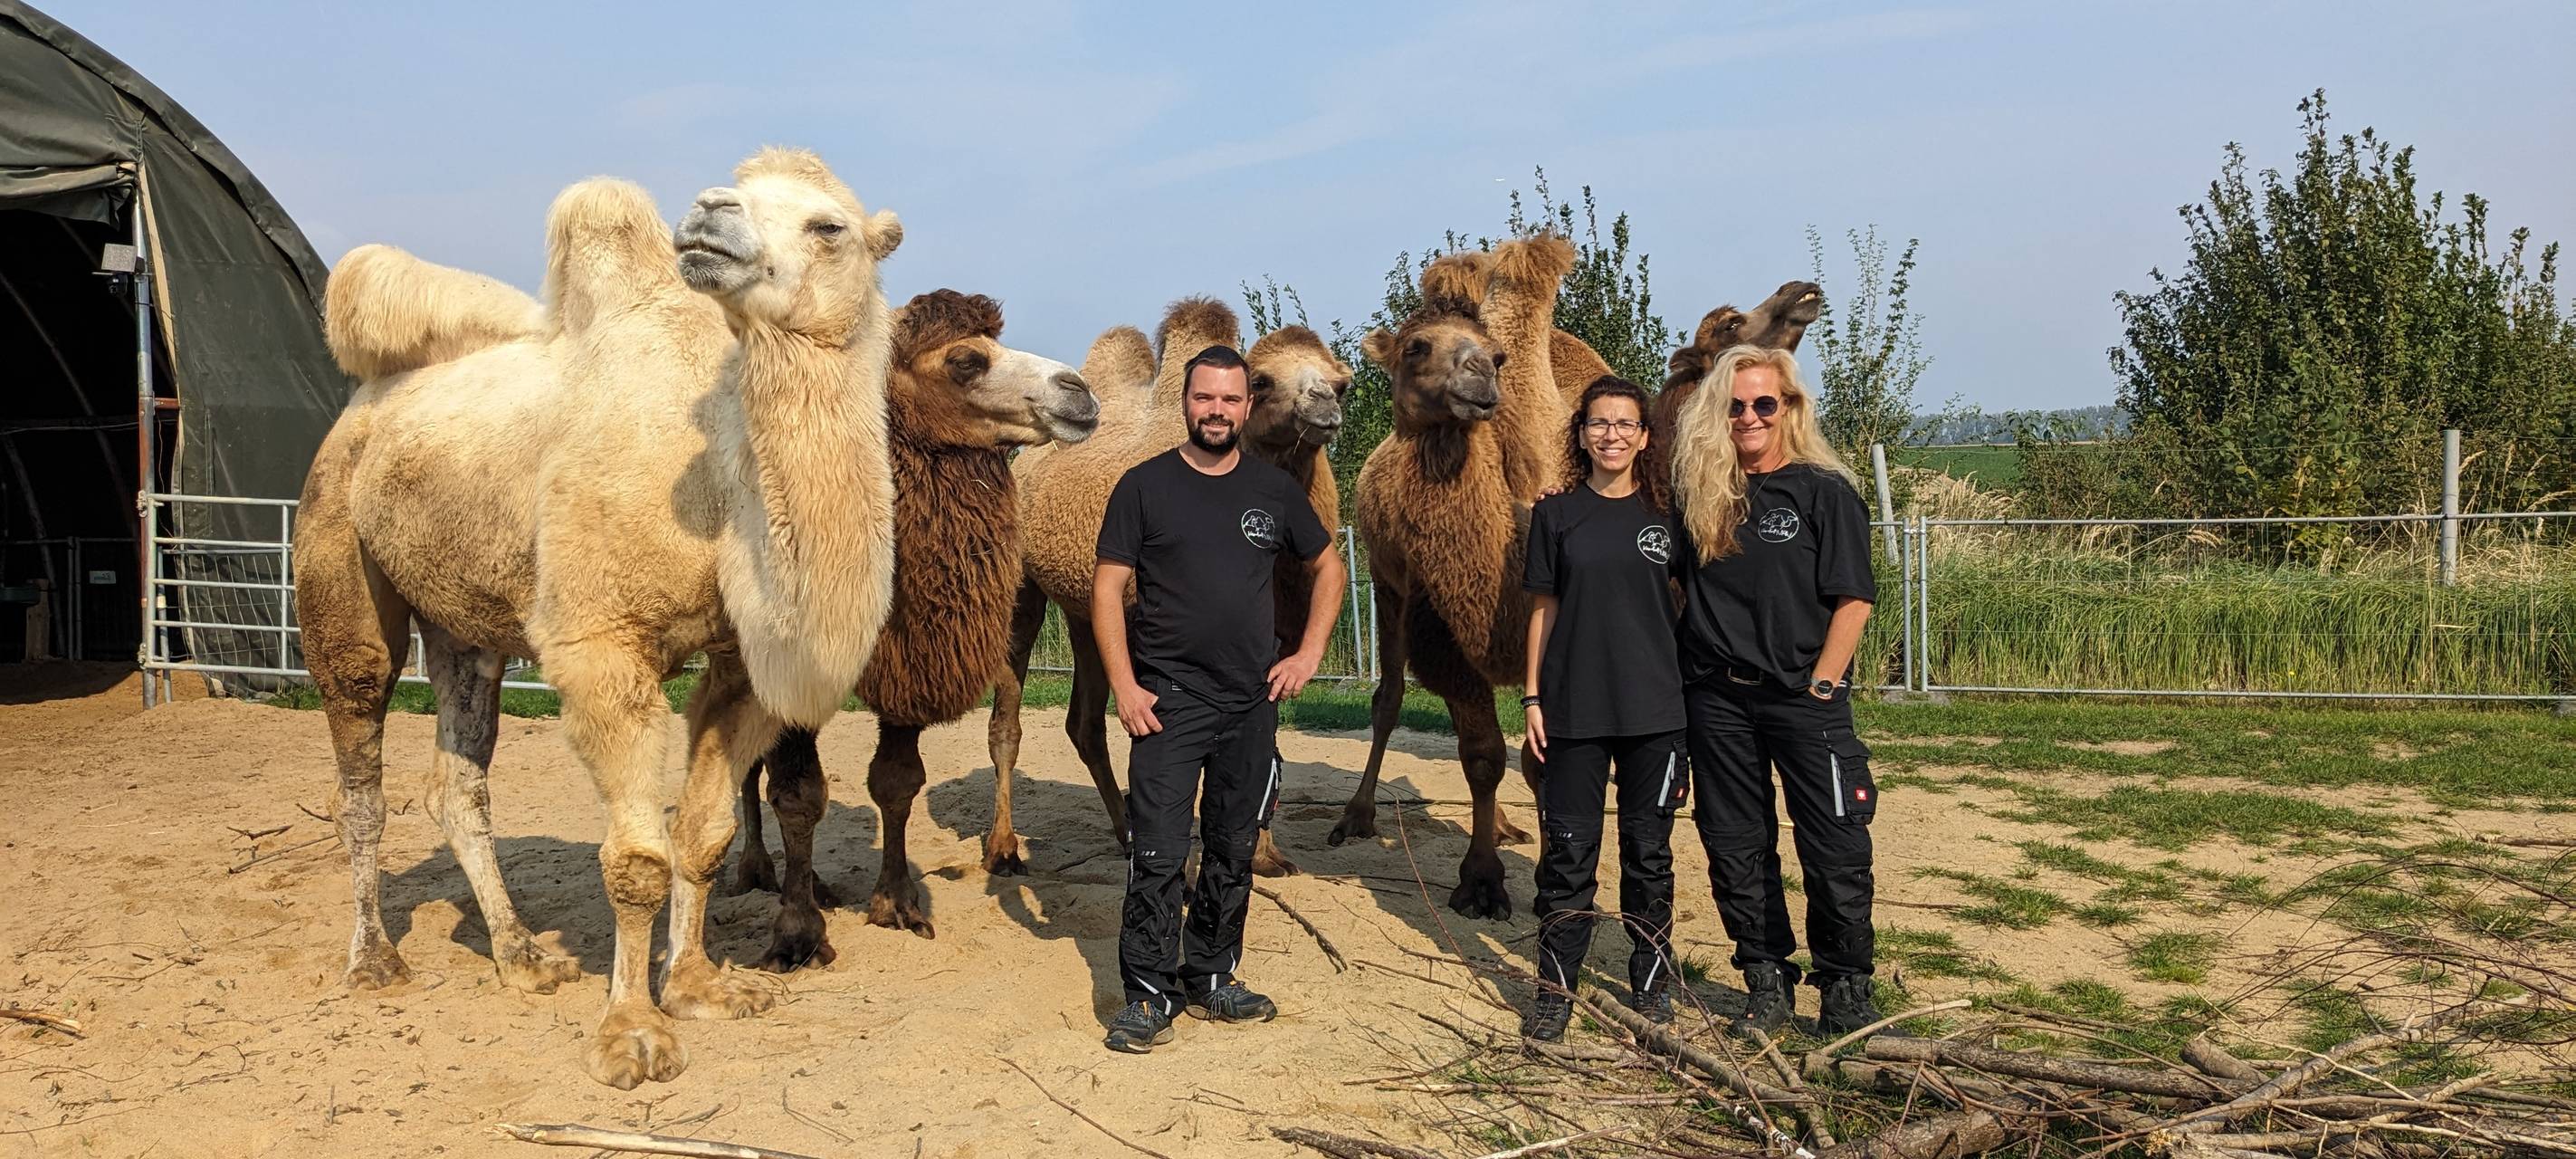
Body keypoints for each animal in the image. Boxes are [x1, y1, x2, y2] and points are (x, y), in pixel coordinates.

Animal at [296, 147, 903, 1090]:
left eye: (828, 225)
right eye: (738, 190)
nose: (710, 211)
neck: (723, 483)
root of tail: (363, 404)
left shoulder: (743, 665)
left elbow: (703, 835)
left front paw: (698, 987)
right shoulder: (601, 646)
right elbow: (636, 860)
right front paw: (633, 1032)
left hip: (467, 621)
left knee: (459, 782)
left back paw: (521, 957)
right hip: (336, 547)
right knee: (359, 756)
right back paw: (375, 962)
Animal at [728, 289, 1099, 959]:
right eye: (964, 360)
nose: (1078, 392)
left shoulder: (908, 657)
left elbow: (897, 783)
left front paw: (896, 904)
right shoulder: (790, 663)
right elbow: (798, 795)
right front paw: (796, 934)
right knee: (749, 766)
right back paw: (758, 871)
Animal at [1328, 234, 1578, 918]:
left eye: (1496, 354)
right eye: (1417, 346)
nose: (1481, 373)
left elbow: (1538, 762)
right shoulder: (1441, 632)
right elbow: (1484, 757)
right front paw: (1482, 882)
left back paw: (1504, 825)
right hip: (1387, 585)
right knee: (1388, 699)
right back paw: (1356, 816)